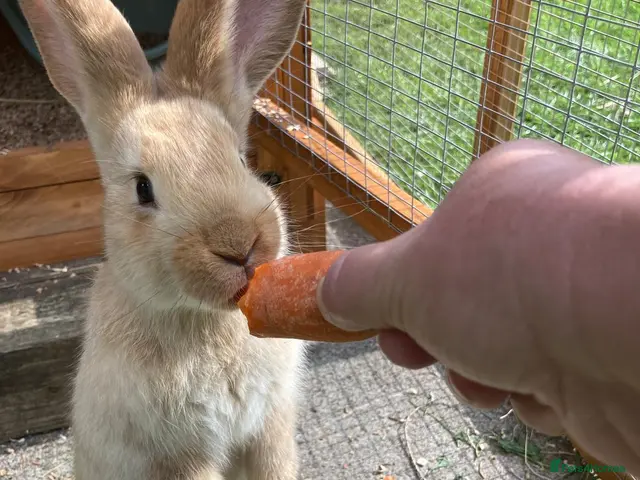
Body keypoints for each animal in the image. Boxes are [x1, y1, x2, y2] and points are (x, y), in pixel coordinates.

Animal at [18, 0, 309, 478]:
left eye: (241, 159)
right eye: (142, 188)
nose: (239, 246)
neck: (207, 320)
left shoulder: (270, 427)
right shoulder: (180, 458)